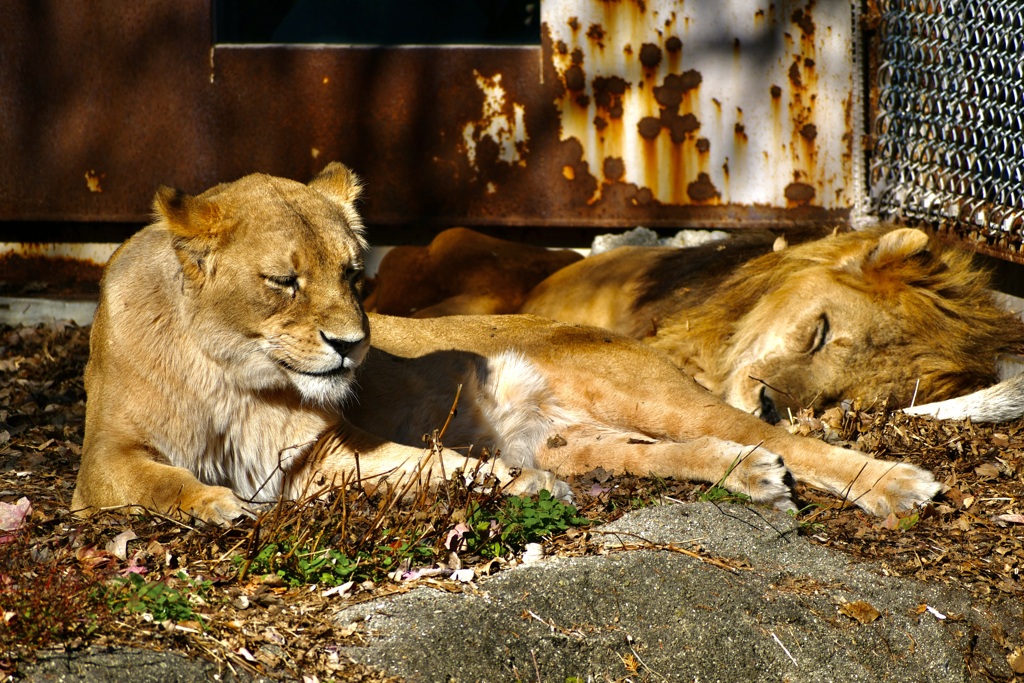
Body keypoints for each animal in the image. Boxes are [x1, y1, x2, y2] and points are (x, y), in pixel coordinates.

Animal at [70, 163, 937, 524]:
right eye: (284, 281)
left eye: (354, 275)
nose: (353, 345)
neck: (234, 375)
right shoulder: (103, 460)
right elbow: (160, 479)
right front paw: (215, 502)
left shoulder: (328, 455)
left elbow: (435, 466)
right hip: (582, 439)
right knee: (682, 450)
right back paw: (753, 476)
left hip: (639, 390)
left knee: (772, 433)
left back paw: (896, 484)